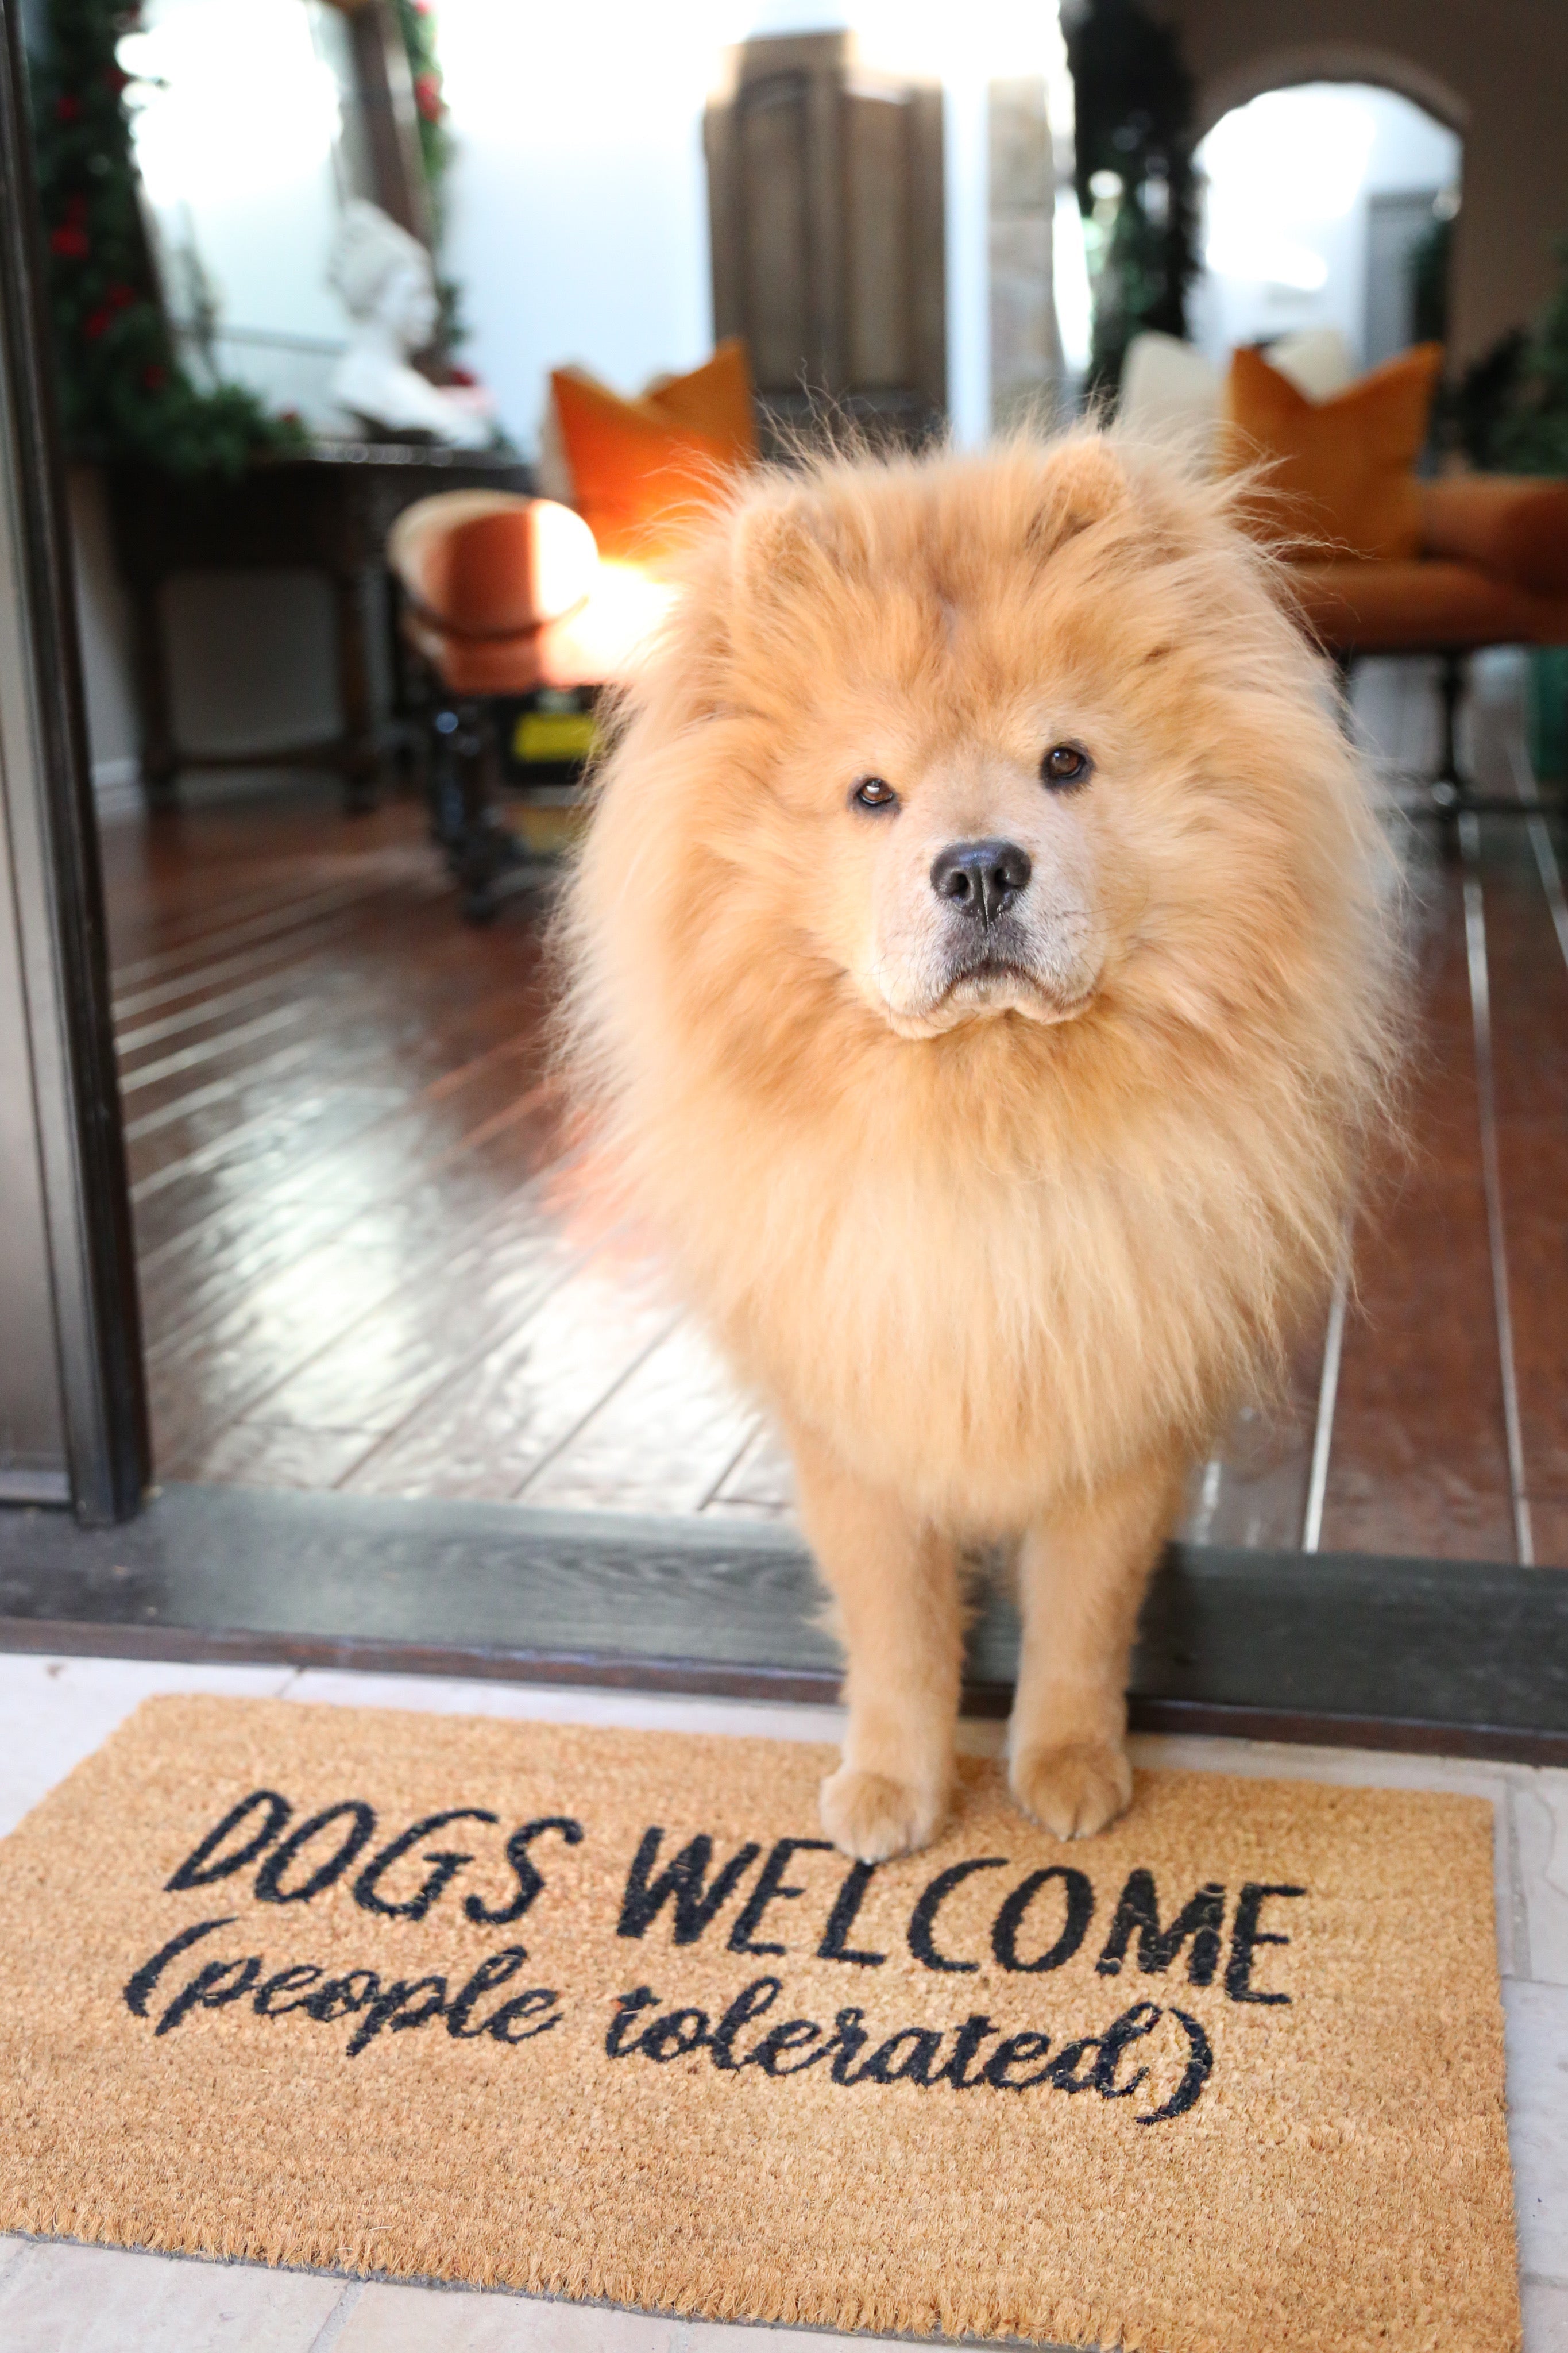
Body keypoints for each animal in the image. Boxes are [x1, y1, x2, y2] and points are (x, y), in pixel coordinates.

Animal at [562, 433, 1401, 1864]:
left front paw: (1068, 1769)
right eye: (872, 795)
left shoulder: (1120, 1407)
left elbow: (1084, 1617)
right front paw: (893, 1788)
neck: (990, 1117)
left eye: (1065, 762)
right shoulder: (860, 1415)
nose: (981, 868)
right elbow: (896, 1630)